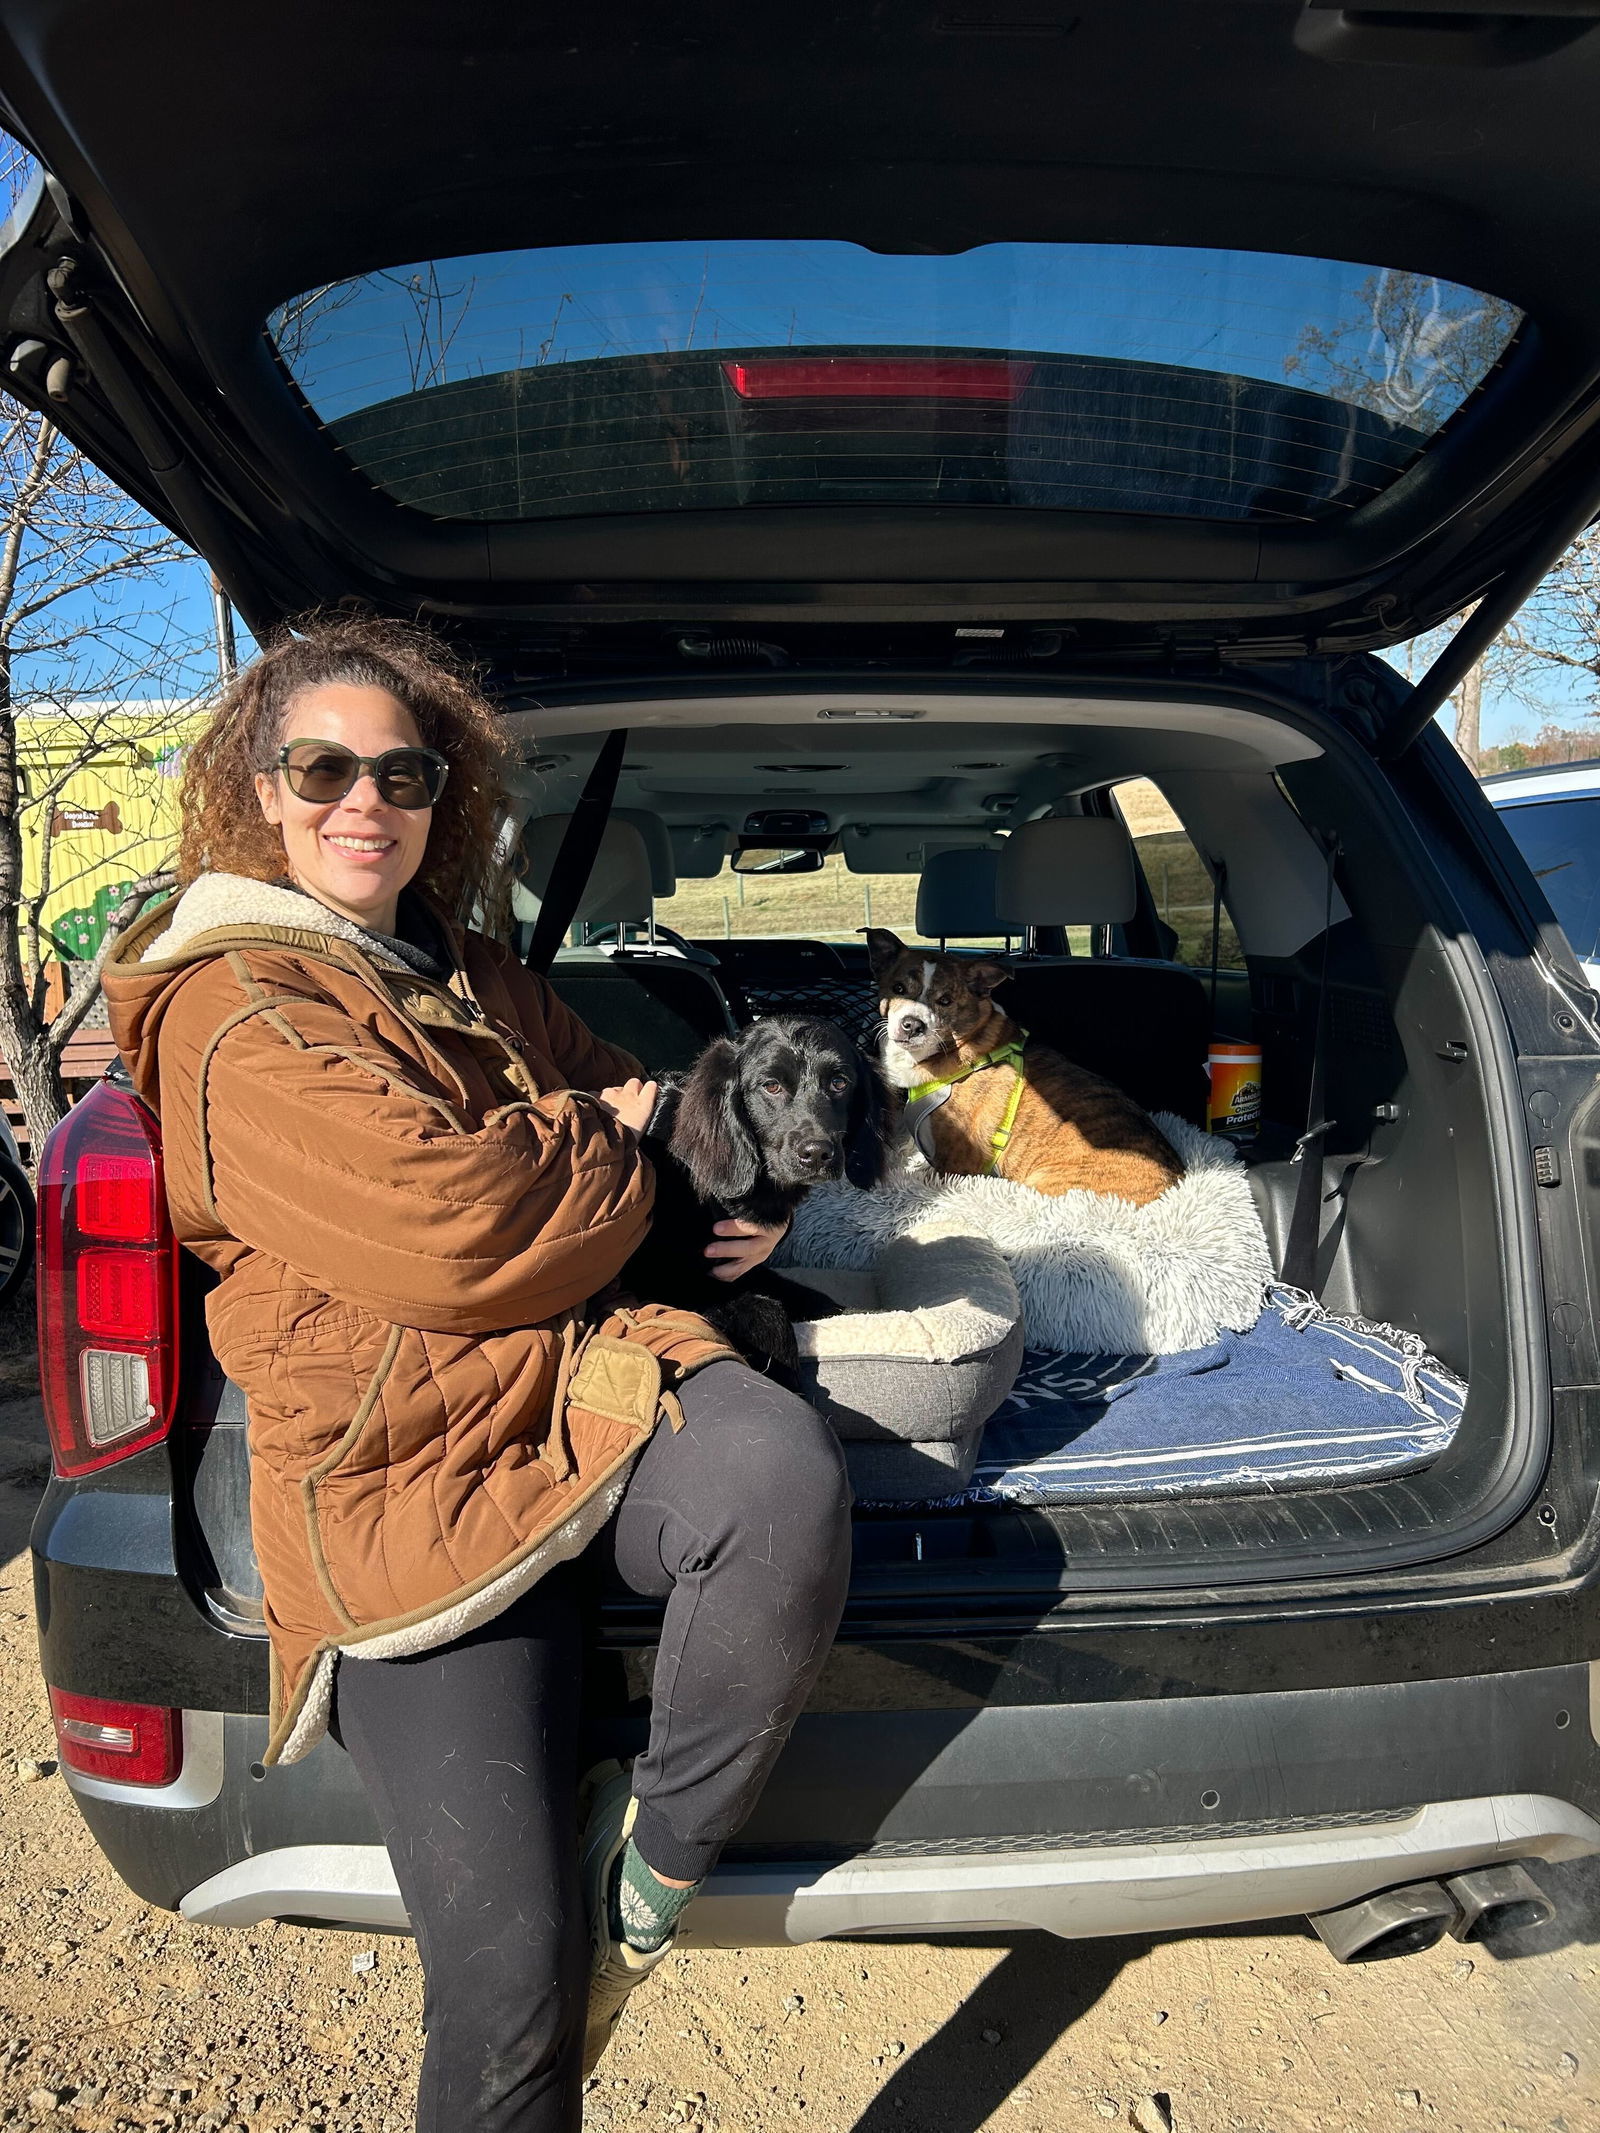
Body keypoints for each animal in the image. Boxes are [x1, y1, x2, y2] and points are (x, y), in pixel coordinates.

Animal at [618, 1019, 891, 1382]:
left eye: (839, 1082)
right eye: (771, 1086)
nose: (817, 1154)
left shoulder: (745, 1269)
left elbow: (823, 1302)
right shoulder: (669, 1282)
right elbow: (767, 1311)